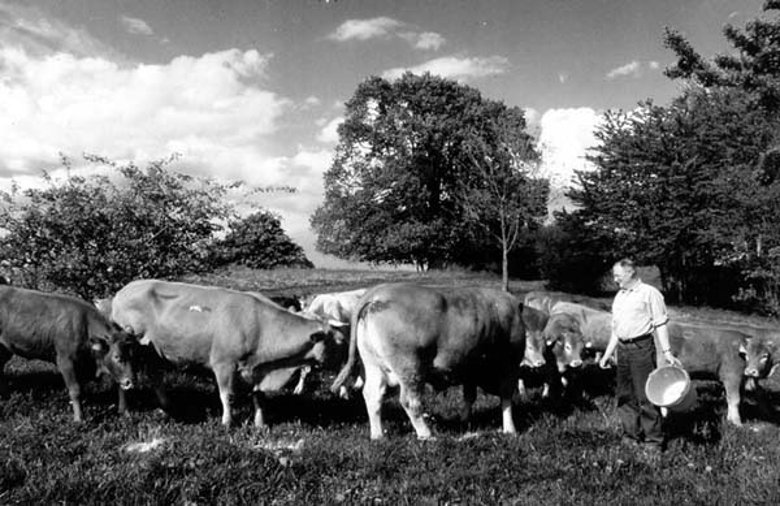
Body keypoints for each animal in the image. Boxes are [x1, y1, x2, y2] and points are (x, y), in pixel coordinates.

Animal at [0, 284, 136, 422]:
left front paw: (124, 412)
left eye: (133, 355)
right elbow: (76, 390)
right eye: (117, 356)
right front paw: (79, 419)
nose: (130, 382)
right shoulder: (66, 361)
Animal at [111, 278, 348, 428]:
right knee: (123, 376)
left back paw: (167, 405)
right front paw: (227, 422)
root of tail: (123, 291)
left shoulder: (257, 369)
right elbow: (227, 396)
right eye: (339, 341)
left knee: (155, 376)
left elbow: (259, 396)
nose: (349, 361)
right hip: (127, 348)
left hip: (155, 354)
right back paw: (124, 408)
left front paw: (260, 424)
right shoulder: (224, 364)